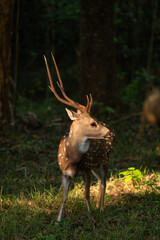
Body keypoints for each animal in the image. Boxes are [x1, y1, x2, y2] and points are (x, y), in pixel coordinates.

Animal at [43, 52, 115, 221]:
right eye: (92, 123)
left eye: (96, 119)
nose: (111, 133)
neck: (72, 159)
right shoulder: (64, 172)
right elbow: (64, 197)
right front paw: (58, 220)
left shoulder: (86, 169)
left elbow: (86, 195)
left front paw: (91, 218)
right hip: (96, 165)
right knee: (100, 180)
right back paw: (98, 206)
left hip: (105, 159)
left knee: (104, 182)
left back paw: (101, 209)